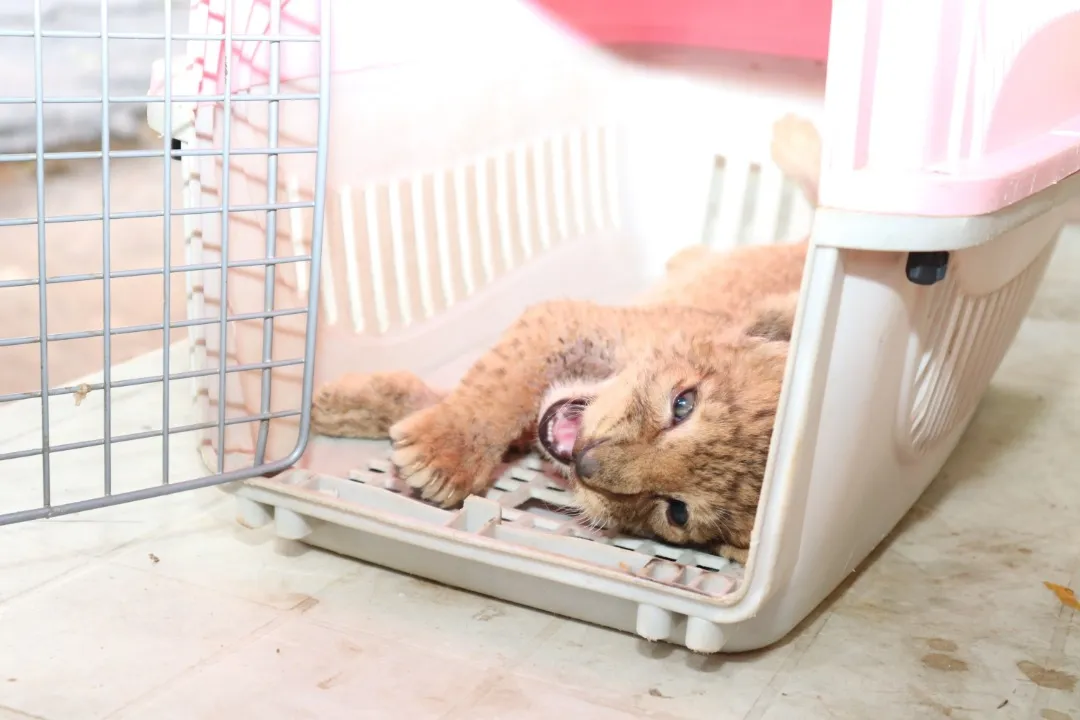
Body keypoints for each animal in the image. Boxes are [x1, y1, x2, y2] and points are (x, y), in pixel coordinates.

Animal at [311, 115, 822, 564]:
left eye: (677, 512)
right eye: (683, 405)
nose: (585, 463)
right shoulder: (569, 320)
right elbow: (496, 383)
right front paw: (432, 446)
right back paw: (789, 136)